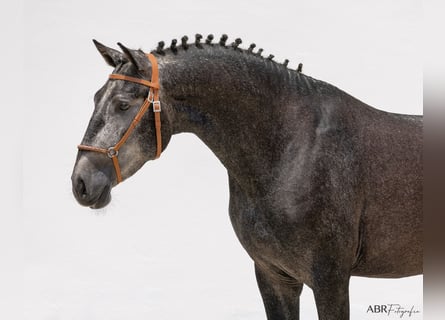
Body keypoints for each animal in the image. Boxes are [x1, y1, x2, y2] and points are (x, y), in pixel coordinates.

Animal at [71, 35, 422, 320]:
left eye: (123, 104)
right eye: (96, 97)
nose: (81, 183)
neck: (291, 148)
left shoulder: (330, 280)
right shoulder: (274, 277)